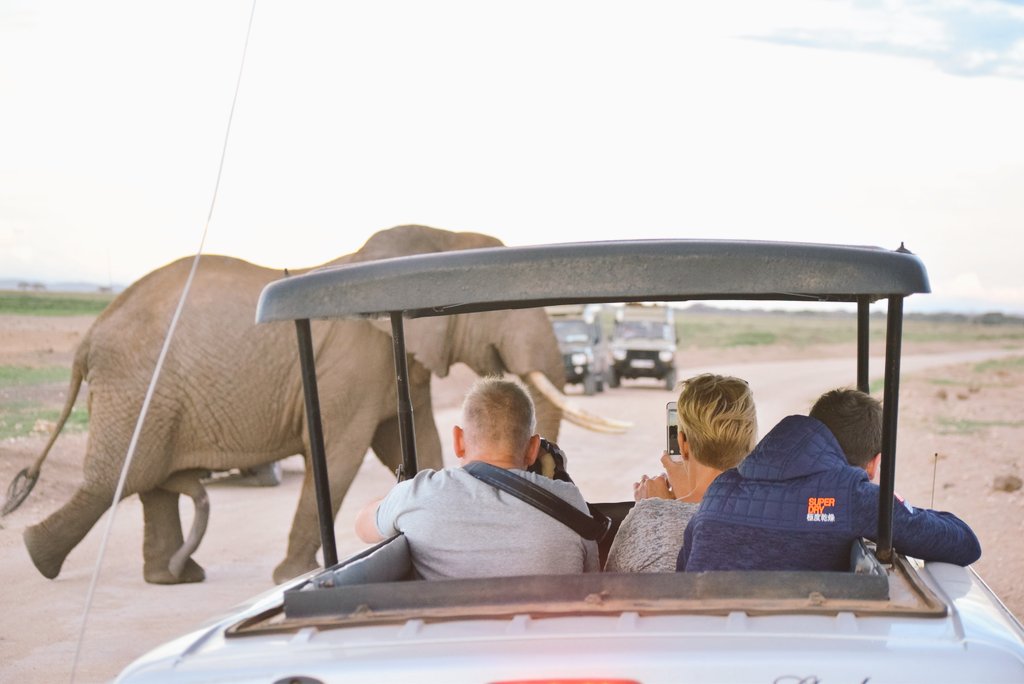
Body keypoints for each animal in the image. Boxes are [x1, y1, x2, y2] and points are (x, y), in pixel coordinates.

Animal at [9, 227, 622, 585]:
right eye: (498, 313)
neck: (435, 236)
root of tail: (91, 332)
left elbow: (413, 445)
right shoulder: (353, 360)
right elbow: (340, 450)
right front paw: (289, 577)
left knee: (148, 482)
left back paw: (171, 578)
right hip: (138, 384)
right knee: (119, 478)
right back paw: (41, 560)